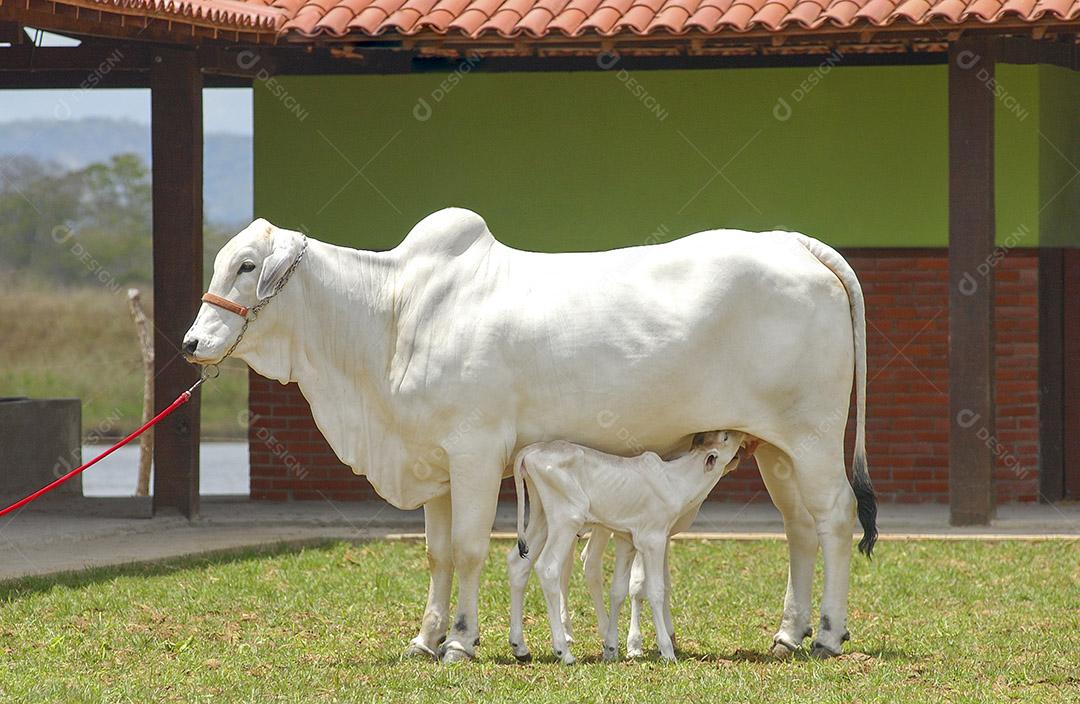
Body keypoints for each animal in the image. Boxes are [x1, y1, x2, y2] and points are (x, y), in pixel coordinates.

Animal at [508, 431, 746, 664]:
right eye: (726, 437)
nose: (740, 435)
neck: (674, 480)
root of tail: (533, 450)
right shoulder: (653, 540)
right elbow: (655, 590)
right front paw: (666, 651)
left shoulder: (626, 541)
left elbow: (618, 590)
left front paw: (611, 649)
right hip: (567, 519)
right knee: (549, 568)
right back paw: (563, 652)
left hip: (542, 518)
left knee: (518, 564)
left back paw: (520, 647)